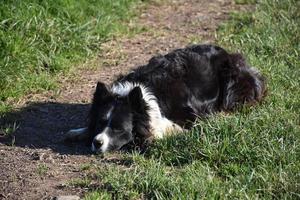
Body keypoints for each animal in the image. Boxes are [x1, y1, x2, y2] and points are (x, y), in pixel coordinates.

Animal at [67, 44, 266, 153]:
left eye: (118, 129)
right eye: (100, 123)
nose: (97, 142)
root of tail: (228, 53)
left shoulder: (192, 116)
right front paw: (78, 131)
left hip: (231, 81)